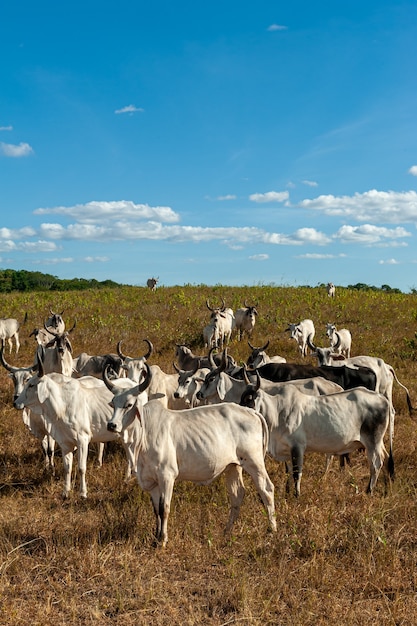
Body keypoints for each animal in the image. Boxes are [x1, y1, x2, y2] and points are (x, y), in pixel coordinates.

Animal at [106, 364, 276, 544]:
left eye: (129, 404)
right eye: (113, 403)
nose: (111, 425)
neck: (143, 434)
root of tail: (252, 412)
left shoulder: (167, 476)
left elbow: (164, 508)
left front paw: (163, 540)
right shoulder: (152, 480)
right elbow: (156, 510)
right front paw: (156, 538)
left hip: (254, 462)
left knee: (267, 490)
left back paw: (272, 530)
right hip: (233, 466)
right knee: (237, 495)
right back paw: (226, 532)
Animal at [237, 370, 394, 498]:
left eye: (249, 399)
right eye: (241, 398)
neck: (277, 412)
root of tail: (383, 399)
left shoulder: (298, 447)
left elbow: (296, 473)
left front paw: (297, 496)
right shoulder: (286, 448)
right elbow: (289, 471)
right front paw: (287, 494)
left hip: (372, 441)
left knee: (376, 463)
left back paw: (369, 491)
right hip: (378, 442)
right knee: (386, 458)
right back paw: (386, 490)